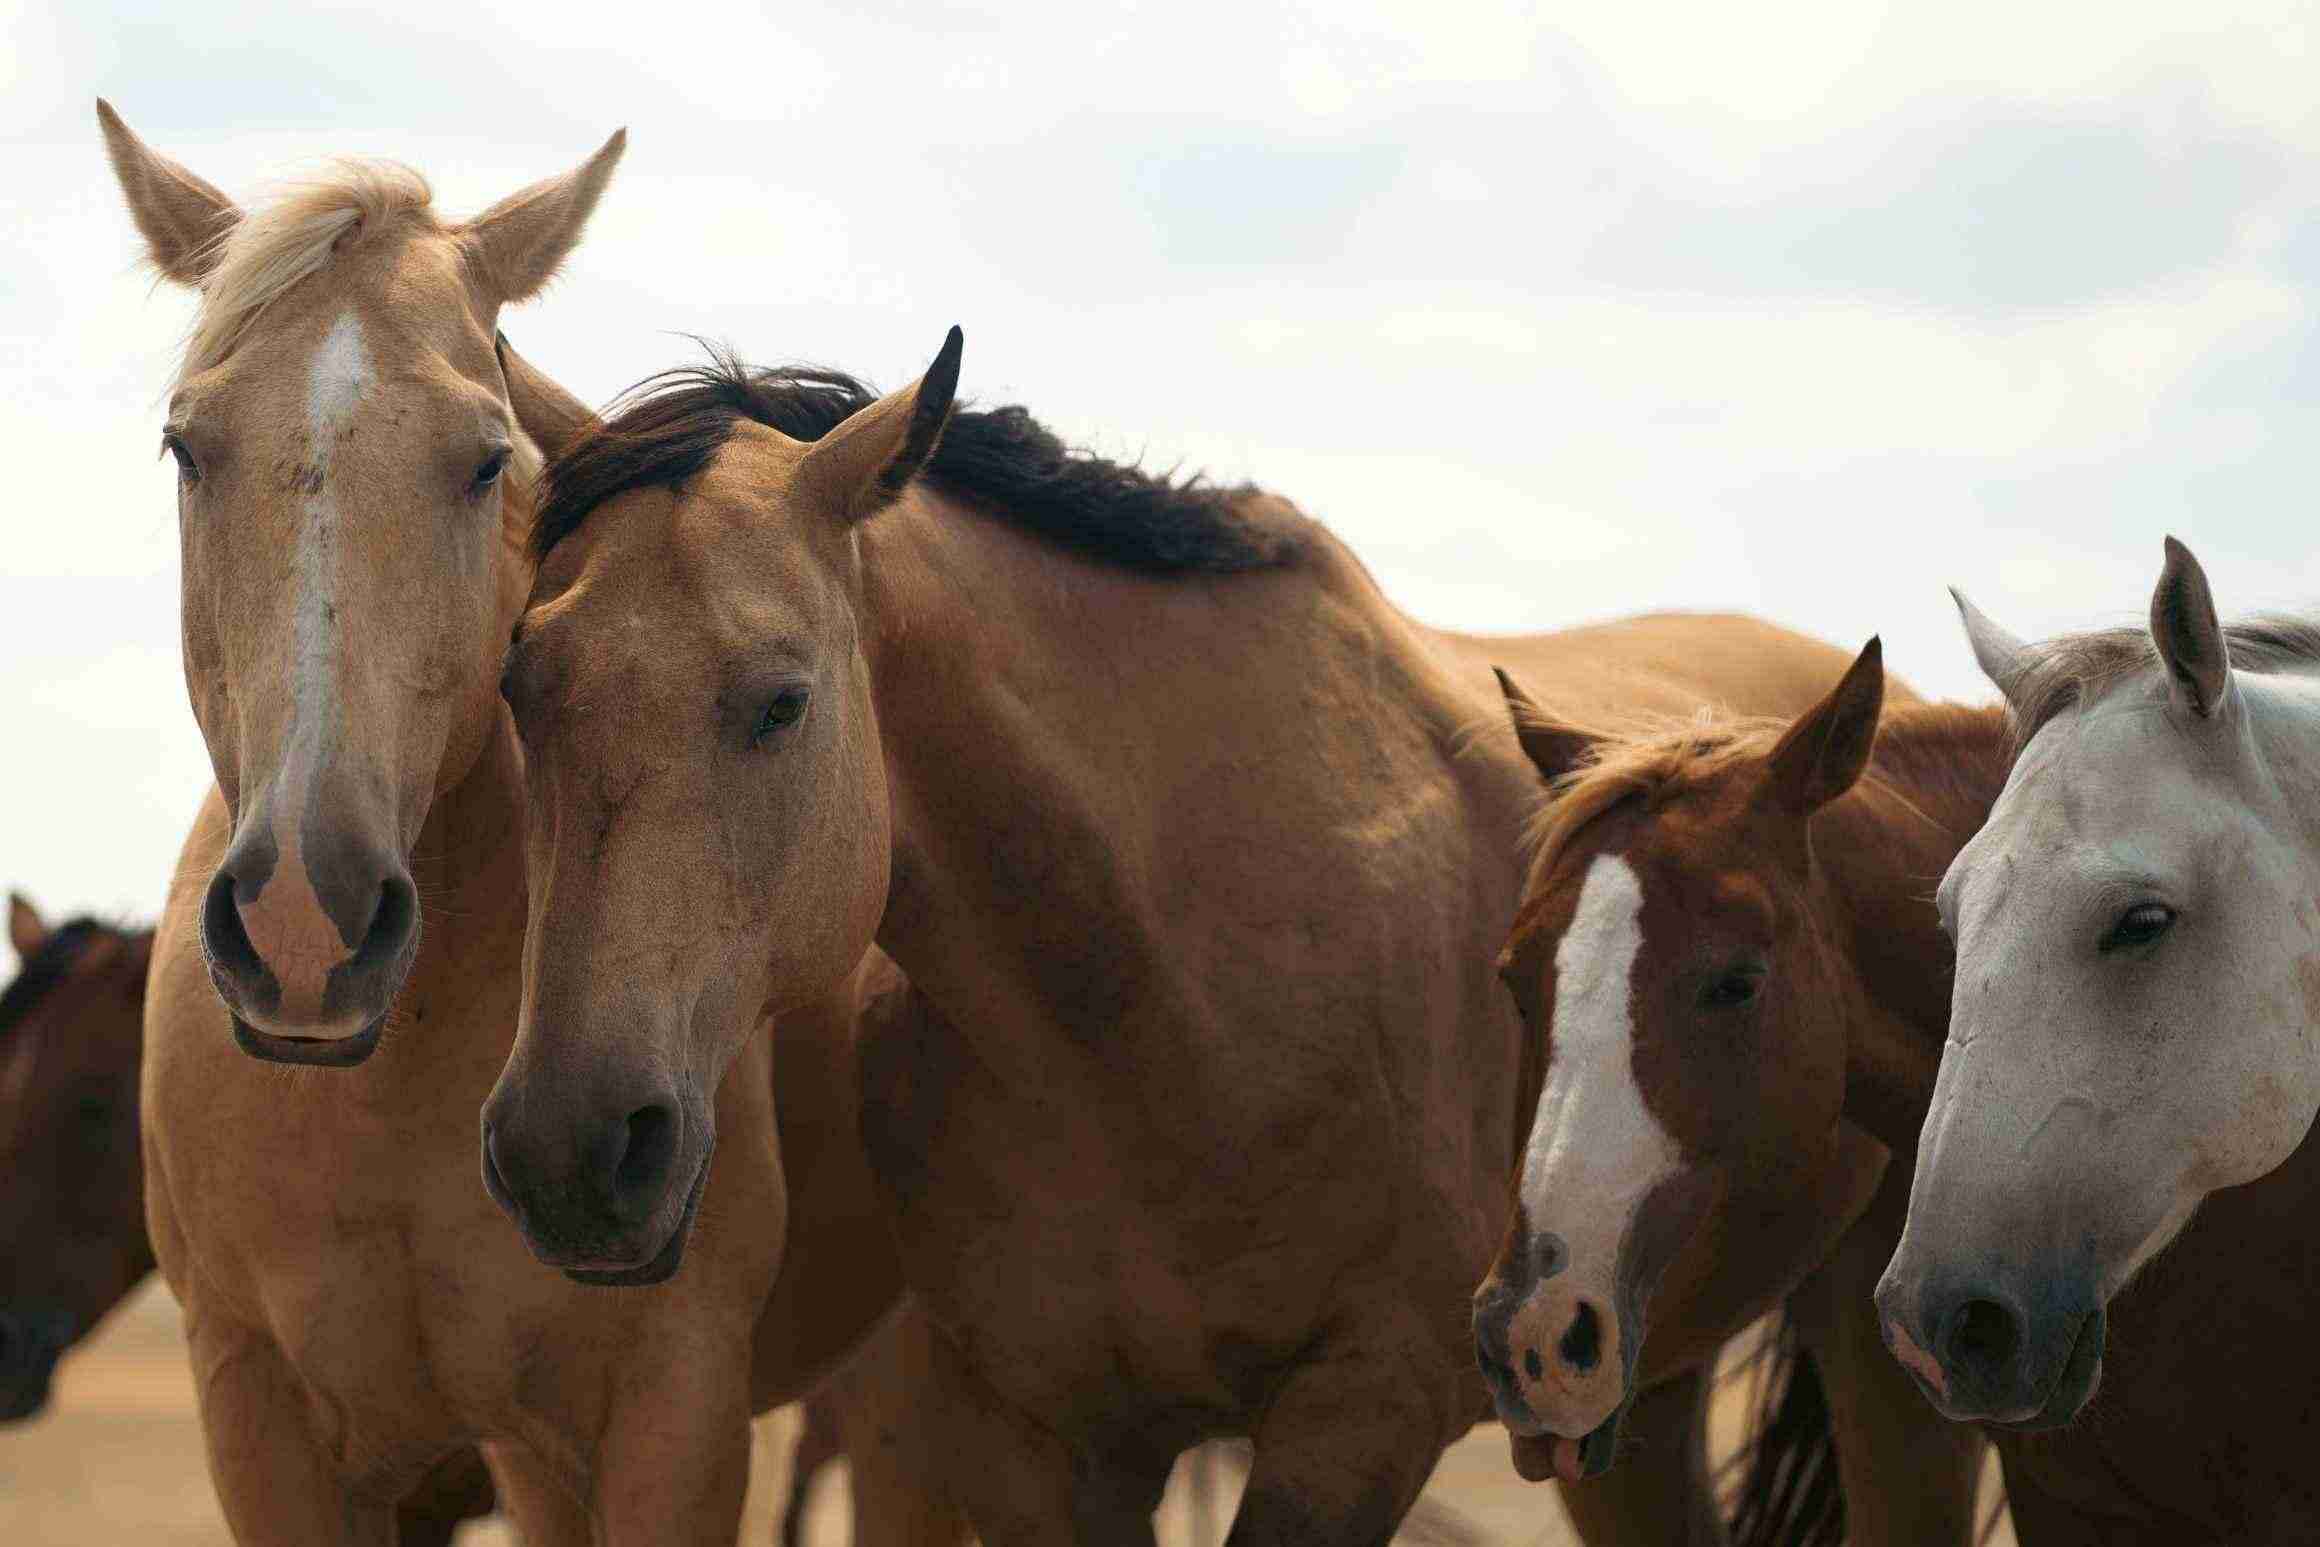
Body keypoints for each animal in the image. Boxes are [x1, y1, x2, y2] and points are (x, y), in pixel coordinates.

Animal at [101, 104, 895, 1544]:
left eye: (486, 458)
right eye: (188, 445)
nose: (305, 920)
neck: (388, 1097)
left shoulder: (673, 1410)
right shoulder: (260, 1416)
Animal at [491, 324, 1874, 1542]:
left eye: (780, 700)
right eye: (520, 683)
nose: (570, 1148)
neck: (1165, 1001)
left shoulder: (1361, 1409)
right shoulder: (1041, 1442)